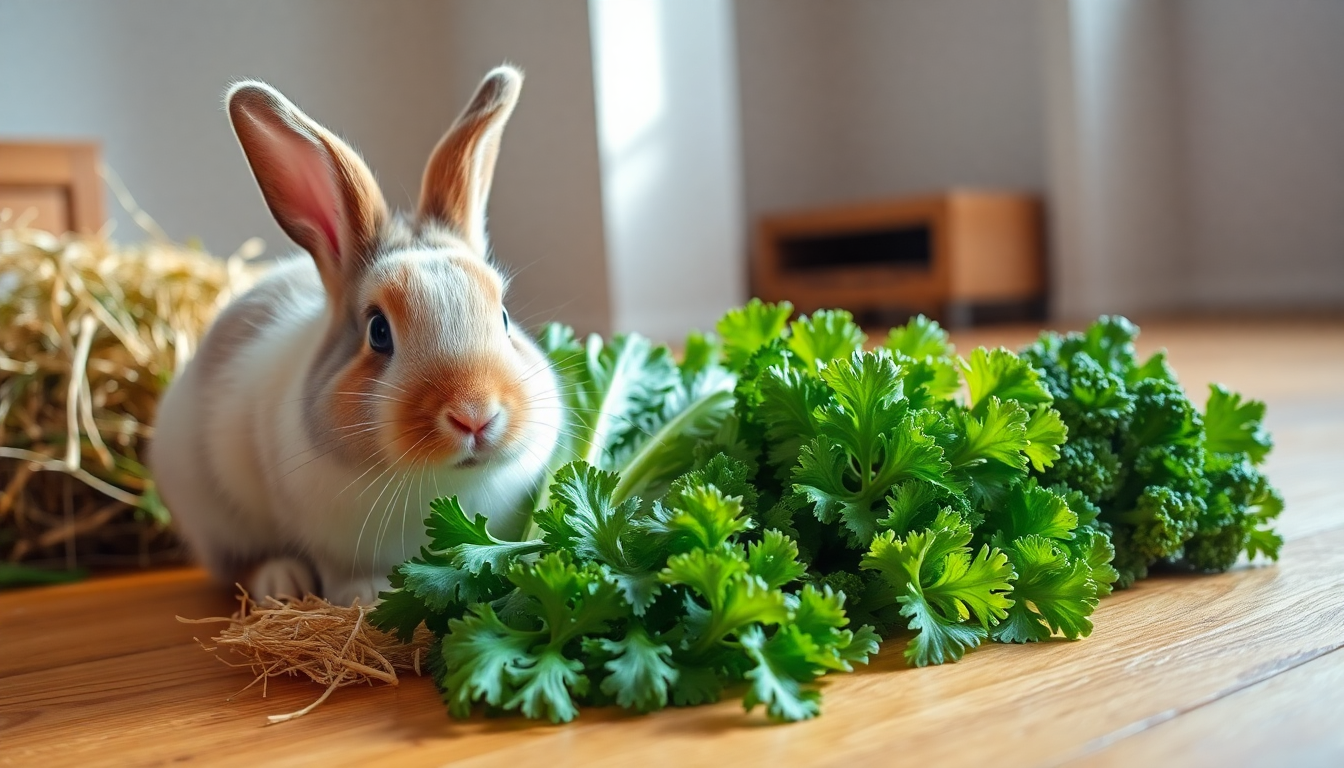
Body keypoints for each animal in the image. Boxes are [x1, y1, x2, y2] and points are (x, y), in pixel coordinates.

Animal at [150, 65, 563, 606]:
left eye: (506, 316)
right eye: (378, 332)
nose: (474, 415)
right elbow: (339, 569)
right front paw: (366, 594)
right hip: (214, 517)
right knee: (238, 561)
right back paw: (281, 582)